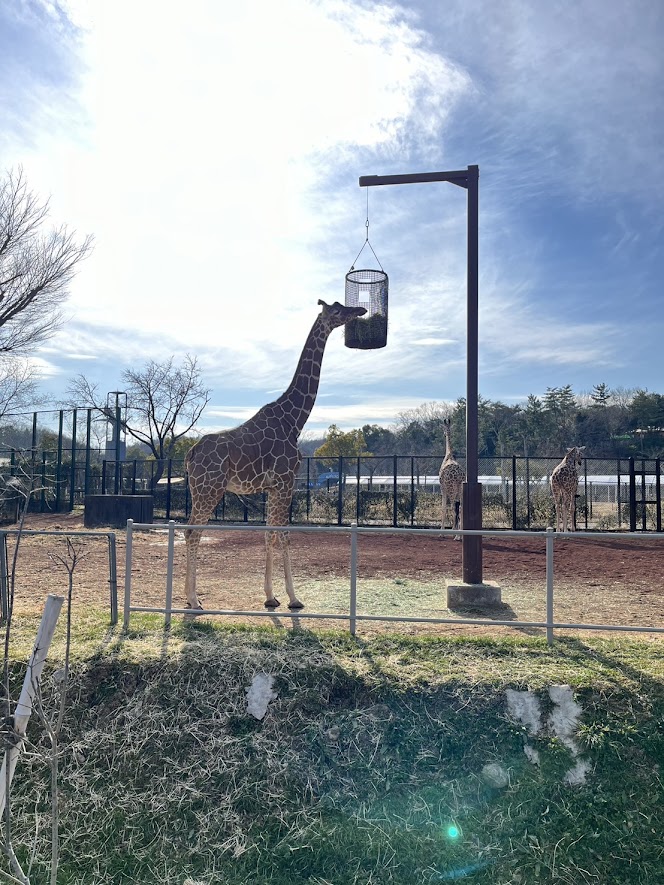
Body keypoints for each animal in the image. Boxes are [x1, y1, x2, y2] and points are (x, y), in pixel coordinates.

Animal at [184, 300, 366, 612]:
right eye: (338, 309)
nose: (360, 310)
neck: (294, 419)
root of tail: (191, 453)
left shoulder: (271, 487)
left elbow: (269, 533)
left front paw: (270, 596)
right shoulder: (285, 481)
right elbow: (284, 534)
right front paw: (294, 598)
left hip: (199, 490)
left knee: (187, 531)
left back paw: (189, 597)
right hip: (210, 489)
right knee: (193, 532)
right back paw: (194, 600)